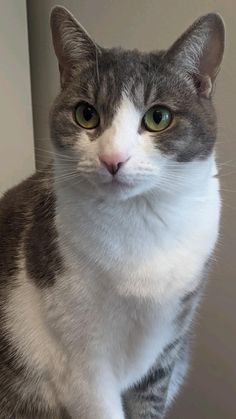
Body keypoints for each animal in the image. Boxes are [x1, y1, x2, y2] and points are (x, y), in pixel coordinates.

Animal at [0, 5, 225, 419]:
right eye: (86, 114)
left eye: (158, 117)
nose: (113, 159)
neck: (139, 220)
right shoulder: (83, 365)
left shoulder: (166, 350)